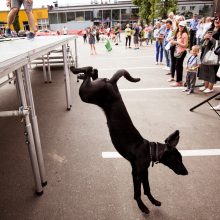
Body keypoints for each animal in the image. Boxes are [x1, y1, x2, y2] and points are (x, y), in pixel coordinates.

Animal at [70, 66, 187, 214]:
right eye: (177, 160)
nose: (186, 172)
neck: (149, 150)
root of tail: (111, 82)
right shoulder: (136, 173)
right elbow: (138, 192)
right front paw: (142, 206)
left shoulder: (144, 172)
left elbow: (147, 188)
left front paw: (153, 201)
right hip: (86, 94)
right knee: (89, 69)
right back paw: (74, 69)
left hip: (92, 91)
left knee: (92, 72)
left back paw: (80, 73)